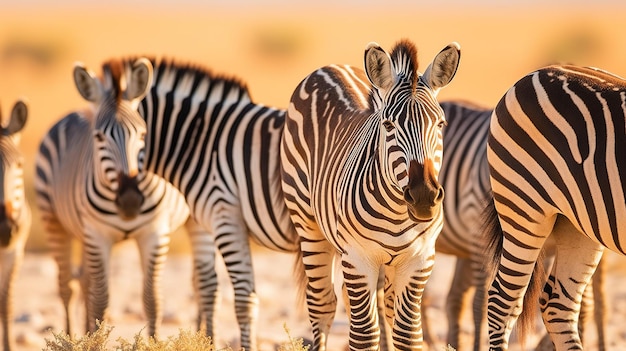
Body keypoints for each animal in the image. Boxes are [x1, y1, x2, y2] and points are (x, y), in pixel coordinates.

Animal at [34, 58, 195, 338]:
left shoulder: (154, 232)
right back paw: (72, 337)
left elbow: (152, 299)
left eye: (143, 134)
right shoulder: (97, 234)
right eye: (99, 137)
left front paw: (153, 341)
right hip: (54, 220)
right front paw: (93, 340)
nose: (130, 200)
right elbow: (100, 300)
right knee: (67, 286)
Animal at [280, 39, 460, 351]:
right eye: (388, 125)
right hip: (308, 225)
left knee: (379, 305)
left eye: (440, 125)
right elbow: (364, 335)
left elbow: (408, 334)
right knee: (323, 305)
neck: (397, 214)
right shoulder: (358, 257)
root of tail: (330, 67)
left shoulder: (420, 259)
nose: (424, 196)